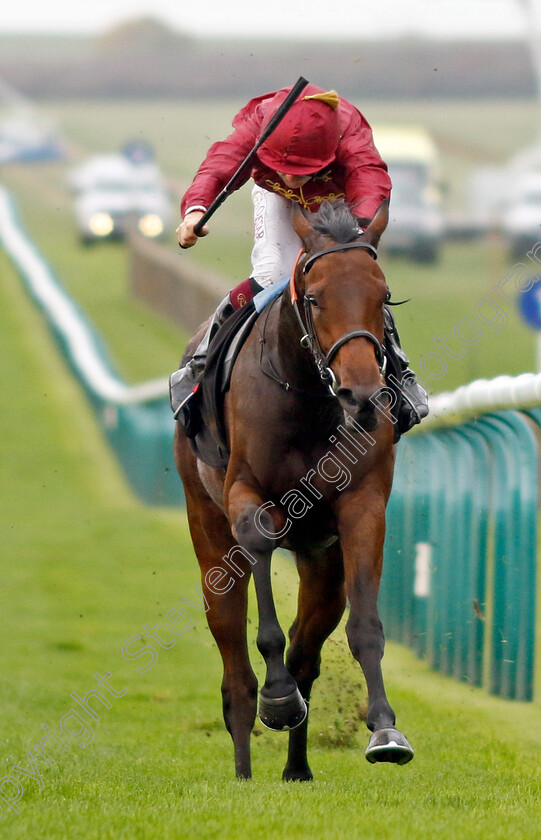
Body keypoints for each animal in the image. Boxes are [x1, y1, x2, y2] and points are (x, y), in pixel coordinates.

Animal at [174, 200, 414, 776]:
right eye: (315, 296)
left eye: (382, 297)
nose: (362, 394)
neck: (307, 395)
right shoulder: (245, 494)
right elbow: (261, 552)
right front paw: (278, 697)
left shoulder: (362, 505)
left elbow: (365, 624)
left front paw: (385, 730)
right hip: (207, 528)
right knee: (234, 663)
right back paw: (245, 766)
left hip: (322, 562)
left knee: (308, 651)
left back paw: (296, 769)